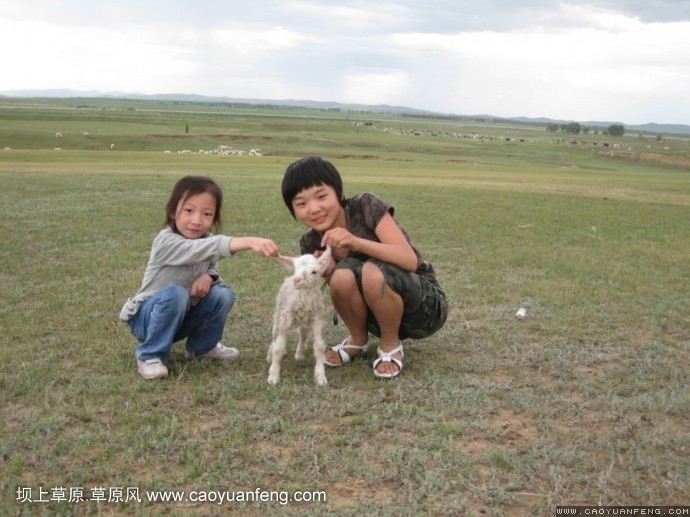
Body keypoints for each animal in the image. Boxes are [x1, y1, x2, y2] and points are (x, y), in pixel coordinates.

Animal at [268, 247, 332, 388]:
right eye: (295, 268)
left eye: (314, 272)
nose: (296, 280)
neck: (303, 298)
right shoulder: (286, 318)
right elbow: (278, 347)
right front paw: (273, 376)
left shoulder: (316, 319)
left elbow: (319, 346)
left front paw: (320, 376)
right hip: (279, 311)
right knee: (275, 335)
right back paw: (270, 354)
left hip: (304, 320)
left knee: (303, 334)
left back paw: (300, 354)